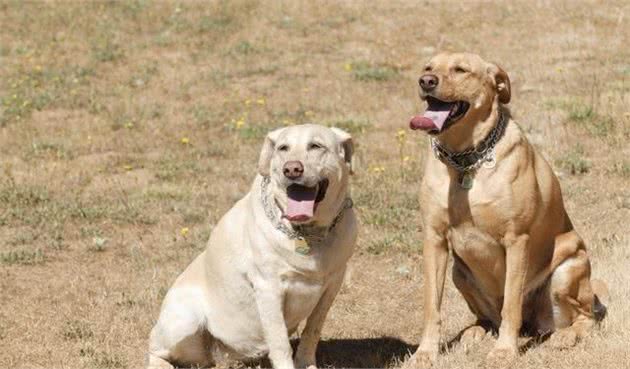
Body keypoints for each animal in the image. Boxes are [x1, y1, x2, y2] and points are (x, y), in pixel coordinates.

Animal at [146, 124, 358, 368]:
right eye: (283, 148)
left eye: (316, 146)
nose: (291, 169)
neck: (307, 233)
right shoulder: (269, 288)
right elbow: (280, 343)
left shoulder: (332, 284)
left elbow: (312, 331)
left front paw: (307, 363)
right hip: (184, 319)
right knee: (154, 349)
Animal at [404, 51, 608, 366]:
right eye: (428, 67)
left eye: (460, 70)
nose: (426, 81)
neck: (466, 161)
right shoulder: (434, 238)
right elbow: (431, 307)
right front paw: (426, 353)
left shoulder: (516, 240)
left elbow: (511, 305)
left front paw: (504, 351)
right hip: (459, 273)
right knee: (488, 318)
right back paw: (474, 331)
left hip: (569, 268)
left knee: (587, 317)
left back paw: (565, 336)